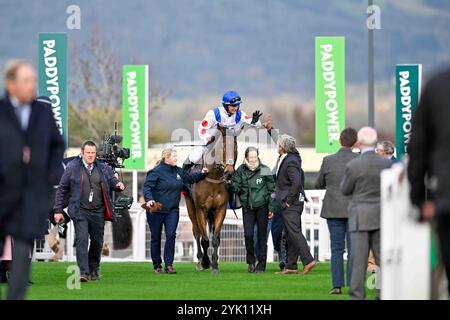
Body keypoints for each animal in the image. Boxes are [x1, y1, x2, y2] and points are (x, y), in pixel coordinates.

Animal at [184, 124, 237, 274]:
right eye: (223, 147)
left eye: (235, 147)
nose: (229, 173)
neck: (212, 177)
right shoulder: (201, 209)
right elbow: (205, 239)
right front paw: (206, 262)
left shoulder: (220, 209)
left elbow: (215, 238)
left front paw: (214, 265)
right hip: (190, 206)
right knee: (196, 232)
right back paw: (200, 261)